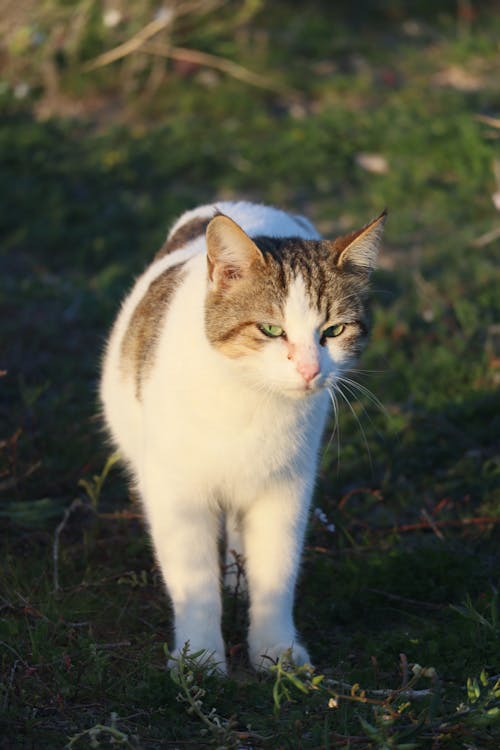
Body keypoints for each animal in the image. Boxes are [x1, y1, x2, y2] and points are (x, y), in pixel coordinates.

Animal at [99, 200, 384, 676]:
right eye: (271, 330)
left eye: (333, 332)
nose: (309, 370)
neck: (251, 397)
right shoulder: (177, 492)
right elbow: (193, 581)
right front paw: (200, 657)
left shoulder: (286, 487)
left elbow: (277, 570)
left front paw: (276, 650)